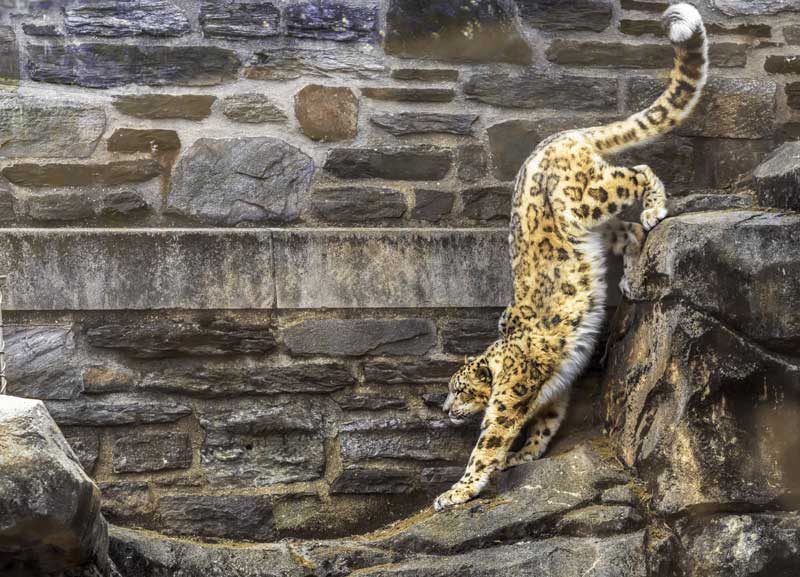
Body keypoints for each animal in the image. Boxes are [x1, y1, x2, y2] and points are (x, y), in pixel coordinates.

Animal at [435, 3, 707, 511]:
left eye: (458, 388)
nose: (443, 409)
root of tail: (560, 136)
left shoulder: (511, 394)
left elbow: (488, 441)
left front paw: (459, 489)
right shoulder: (552, 395)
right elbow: (542, 427)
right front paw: (523, 457)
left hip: (587, 199)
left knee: (636, 172)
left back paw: (656, 207)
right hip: (596, 228)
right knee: (629, 231)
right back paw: (632, 277)